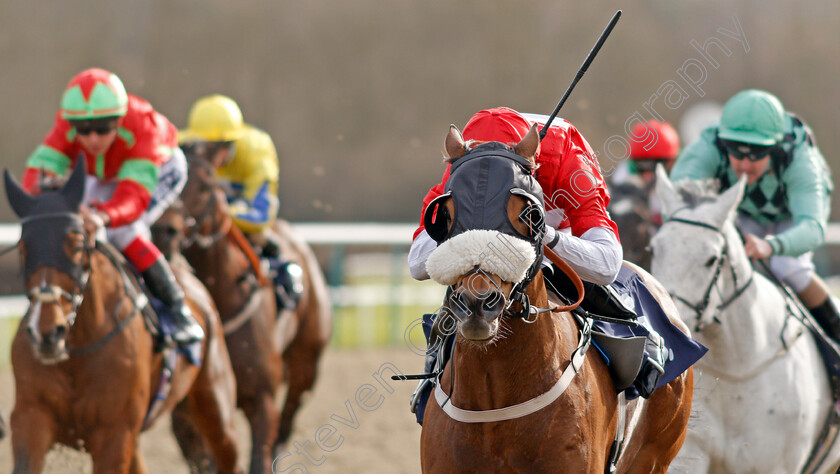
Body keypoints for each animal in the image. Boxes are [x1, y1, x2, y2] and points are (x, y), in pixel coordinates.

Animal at [4, 160, 240, 474]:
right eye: (24, 247)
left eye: (76, 245)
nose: (47, 332)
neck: (77, 350)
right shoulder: (31, 418)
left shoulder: (115, 433)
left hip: (216, 404)